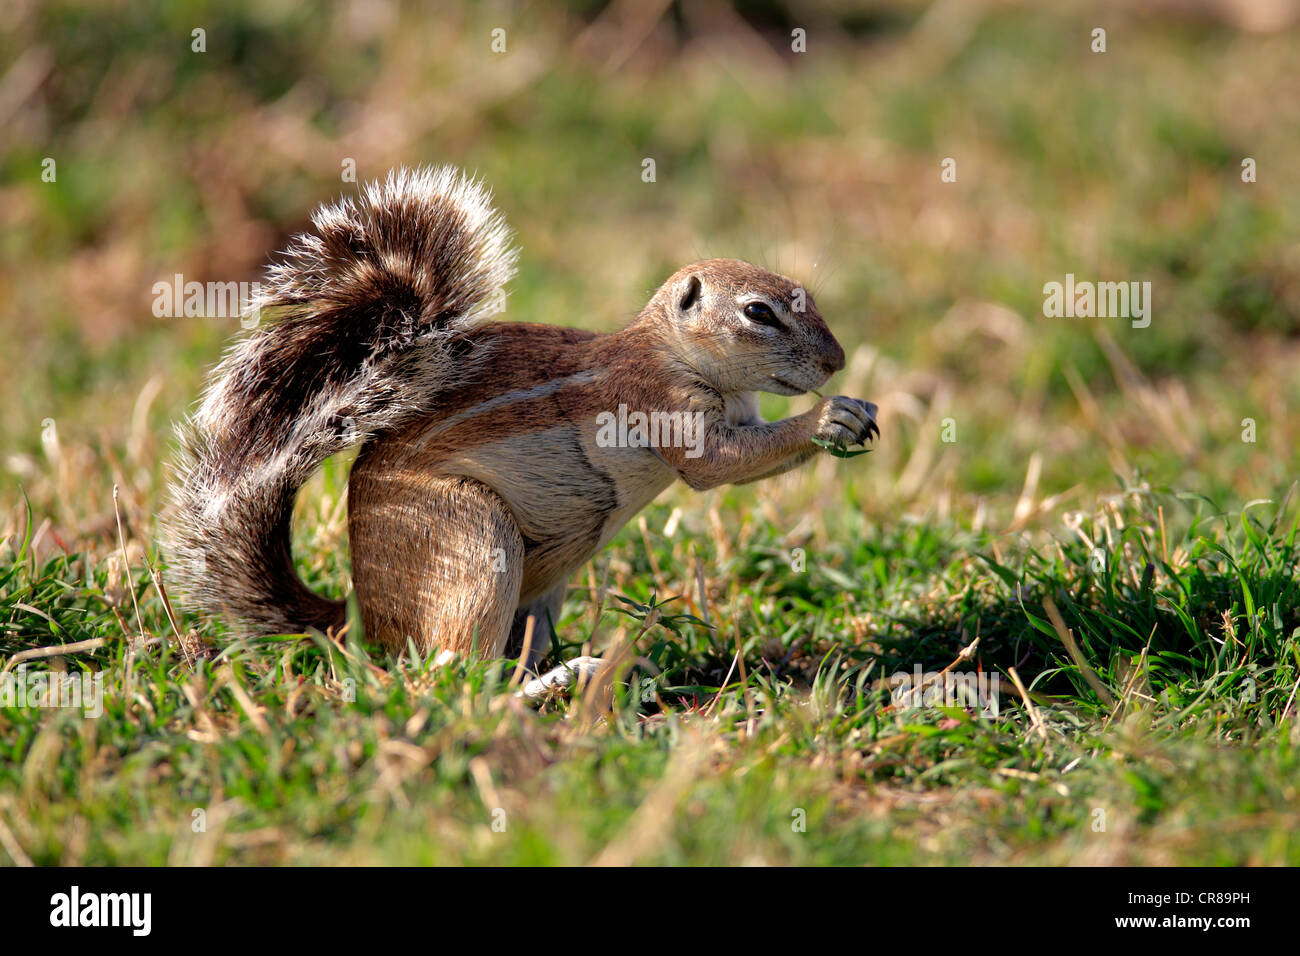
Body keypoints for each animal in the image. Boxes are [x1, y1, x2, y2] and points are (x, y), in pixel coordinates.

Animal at [162, 167, 873, 697]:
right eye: (759, 313)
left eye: (805, 294)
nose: (836, 362)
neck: (672, 350)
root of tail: (365, 621)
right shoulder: (663, 403)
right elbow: (717, 465)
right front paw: (828, 418)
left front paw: (854, 414)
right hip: (474, 540)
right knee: (456, 678)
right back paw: (560, 680)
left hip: (540, 589)